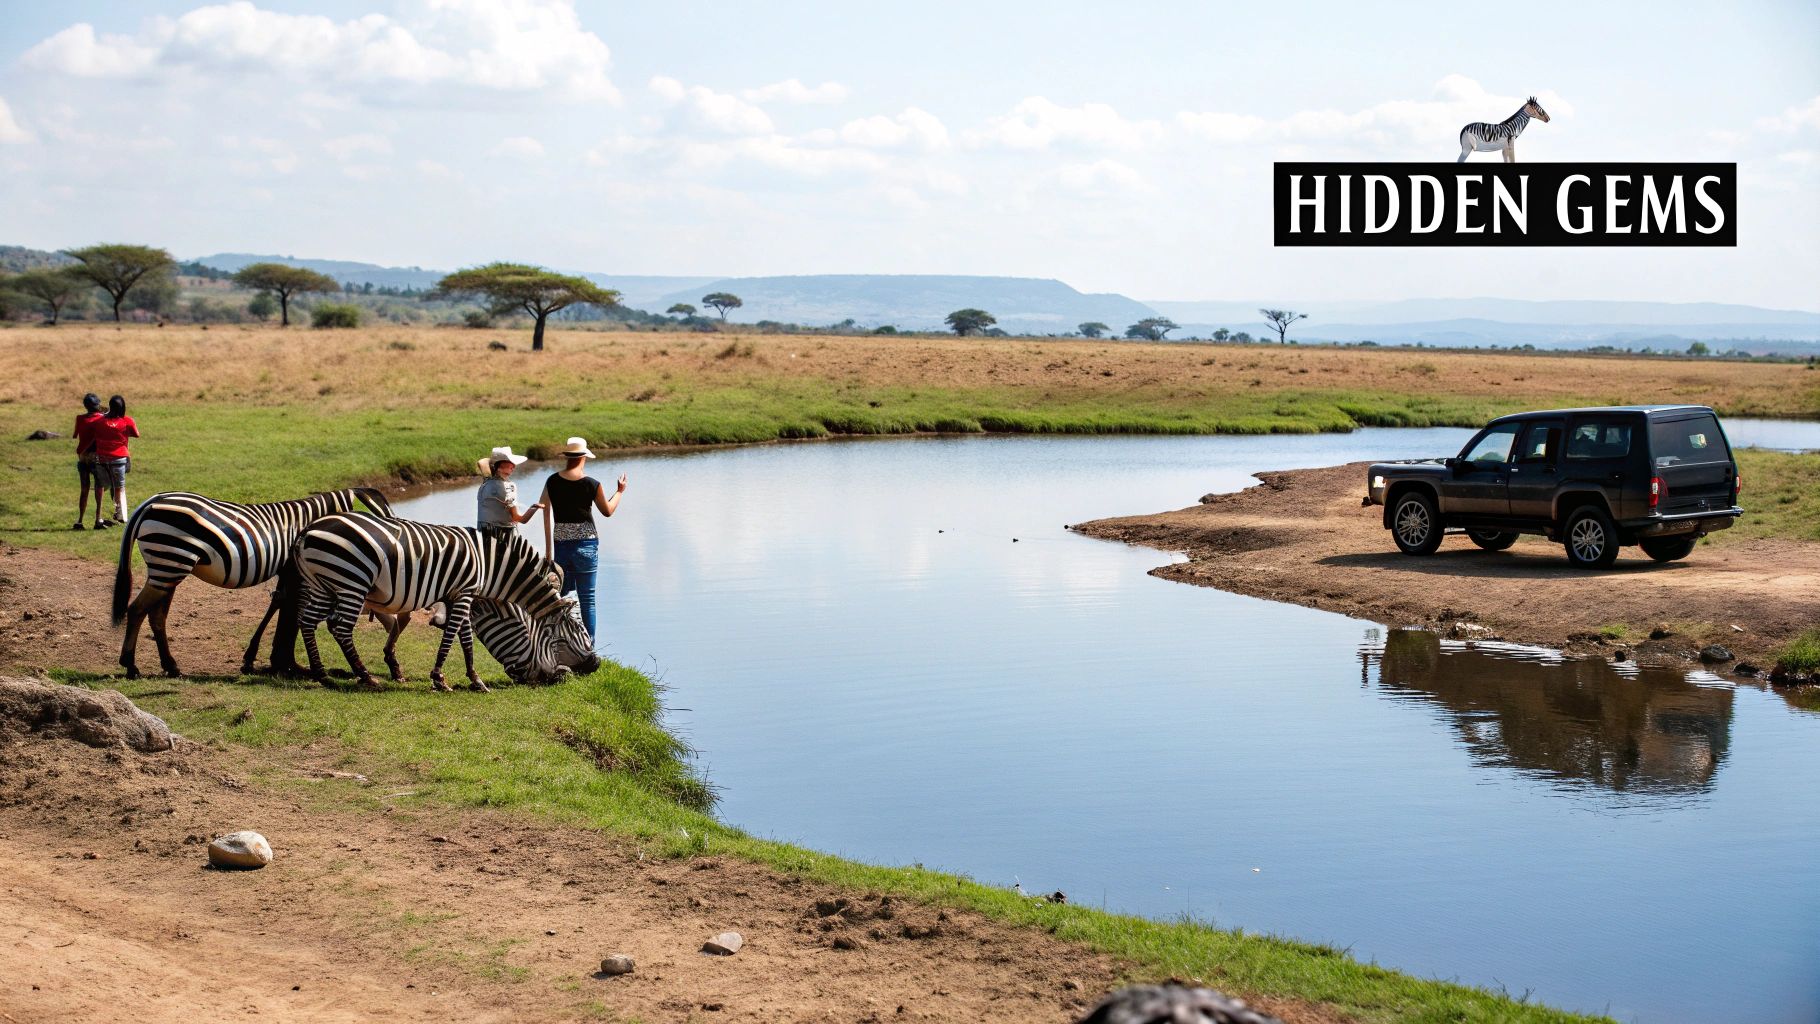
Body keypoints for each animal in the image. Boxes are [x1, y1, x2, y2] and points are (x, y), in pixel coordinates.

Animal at [111, 487, 394, 678]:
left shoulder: (289, 573)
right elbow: (290, 611)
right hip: (170, 563)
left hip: (168, 569)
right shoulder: (296, 573)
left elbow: (281, 608)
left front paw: (276, 661)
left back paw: (170, 666)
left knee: (155, 616)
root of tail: (152, 501)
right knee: (136, 610)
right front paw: (285, 663)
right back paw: (131, 665)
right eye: (380, 518)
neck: (310, 524)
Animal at [293, 512, 568, 691]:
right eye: (555, 640)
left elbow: (465, 637)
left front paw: (475, 679)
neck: (487, 564)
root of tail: (307, 529)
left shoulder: (458, 595)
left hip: (323, 585)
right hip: (352, 581)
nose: (559, 677)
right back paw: (366, 677)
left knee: (307, 621)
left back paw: (321, 674)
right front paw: (439, 679)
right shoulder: (464, 592)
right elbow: (453, 635)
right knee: (341, 628)